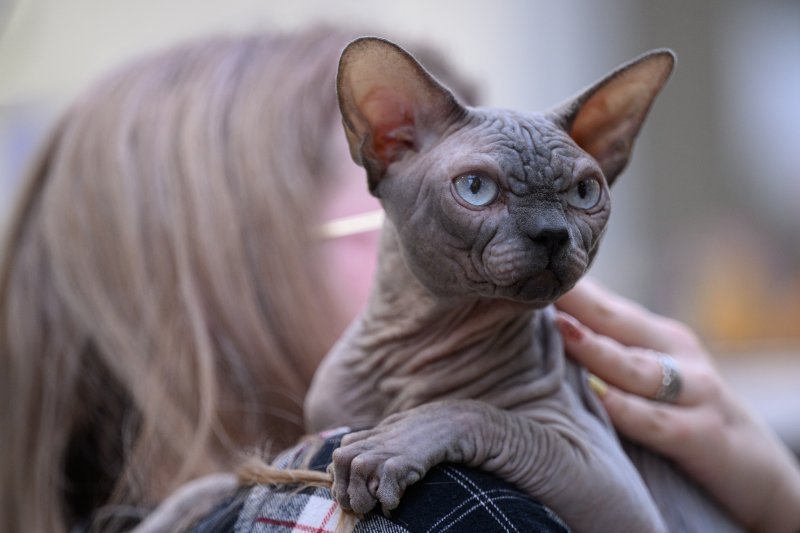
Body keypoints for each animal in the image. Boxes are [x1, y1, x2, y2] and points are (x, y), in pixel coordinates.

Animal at [304, 38, 736, 532]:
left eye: (585, 192)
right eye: (476, 188)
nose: (551, 233)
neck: (409, 355)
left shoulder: (620, 495)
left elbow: (482, 413)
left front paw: (388, 445)